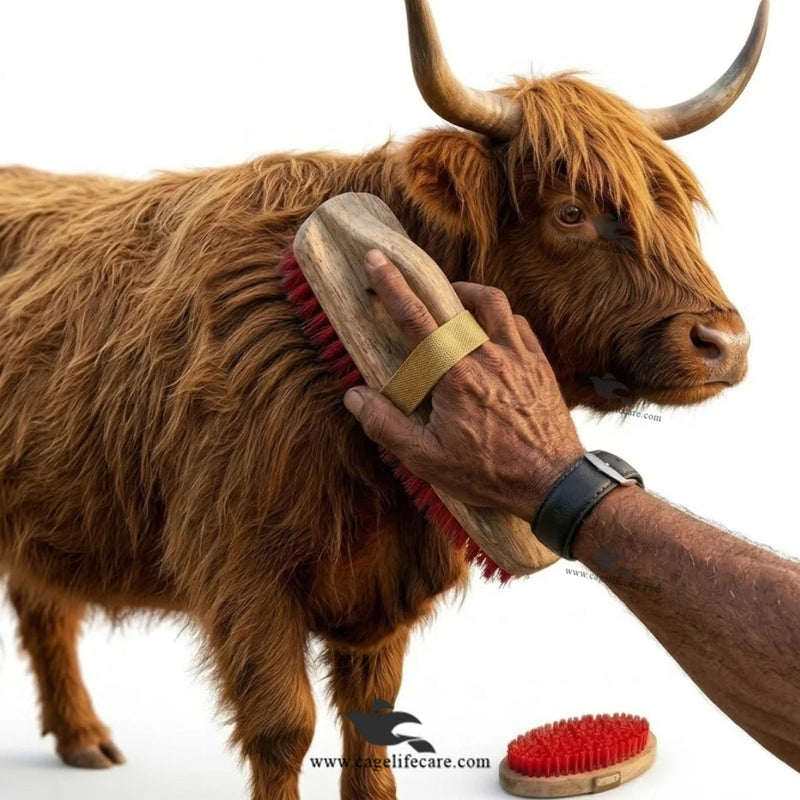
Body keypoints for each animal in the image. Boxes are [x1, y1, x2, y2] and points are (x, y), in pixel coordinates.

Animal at [0, 1, 766, 798]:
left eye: (678, 206)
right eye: (570, 212)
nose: (725, 342)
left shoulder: (385, 574)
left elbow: (371, 715)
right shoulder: (241, 563)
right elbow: (283, 725)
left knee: (39, 599)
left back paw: (80, 738)